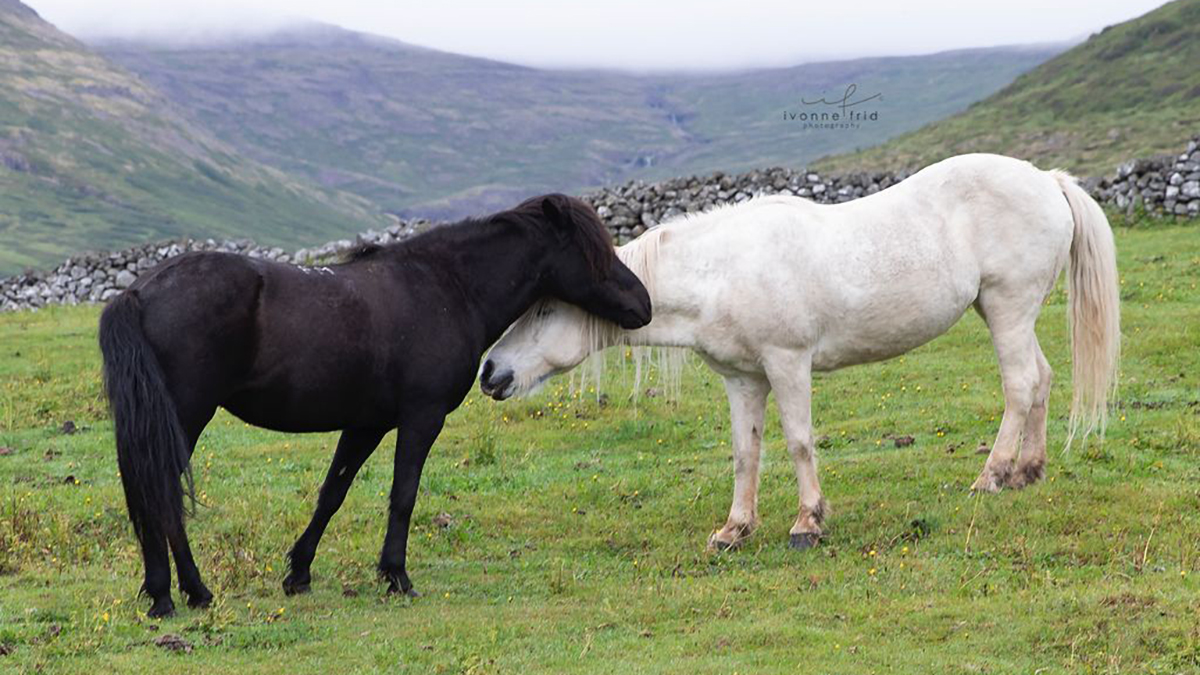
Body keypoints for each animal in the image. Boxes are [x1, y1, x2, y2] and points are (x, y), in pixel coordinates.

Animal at [98, 194, 651, 617]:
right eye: (594, 253)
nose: (643, 305)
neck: (447, 288)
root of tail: (137, 293)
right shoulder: (421, 419)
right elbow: (402, 496)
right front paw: (396, 576)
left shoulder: (366, 426)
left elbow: (331, 494)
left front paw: (299, 573)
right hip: (185, 417)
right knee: (159, 496)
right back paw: (181, 594)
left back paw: (173, 592)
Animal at [480, 154, 1120, 552]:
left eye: (543, 311)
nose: (489, 372)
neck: (722, 271)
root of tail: (1047, 180)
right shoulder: (742, 379)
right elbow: (746, 453)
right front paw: (734, 530)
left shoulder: (787, 362)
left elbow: (798, 442)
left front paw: (808, 523)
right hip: (1006, 313)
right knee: (1041, 379)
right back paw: (1027, 472)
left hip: (1008, 308)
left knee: (1020, 385)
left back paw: (992, 476)